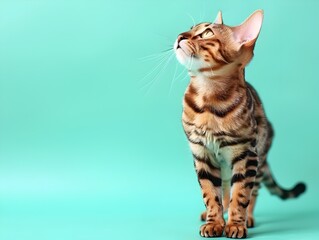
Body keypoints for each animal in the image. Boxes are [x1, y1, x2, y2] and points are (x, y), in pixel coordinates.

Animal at [175, 9, 308, 238]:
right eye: (190, 29)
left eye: (206, 33)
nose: (180, 36)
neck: (207, 99)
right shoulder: (202, 153)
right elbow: (210, 193)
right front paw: (214, 222)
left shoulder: (245, 154)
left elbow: (241, 195)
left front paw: (236, 224)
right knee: (225, 188)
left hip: (259, 159)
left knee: (253, 191)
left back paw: (248, 218)